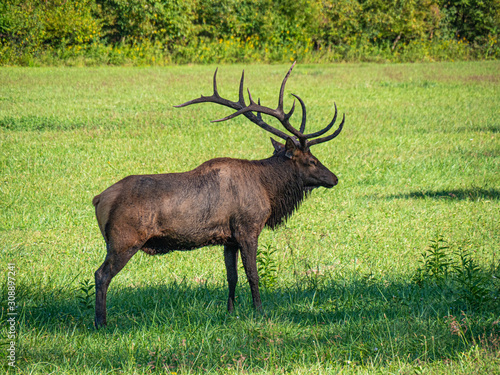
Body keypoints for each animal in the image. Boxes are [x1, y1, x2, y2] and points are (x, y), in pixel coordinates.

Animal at [92, 64, 344, 328]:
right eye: (311, 161)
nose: (334, 178)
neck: (268, 190)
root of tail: (98, 199)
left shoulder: (228, 239)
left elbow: (231, 277)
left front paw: (230, 311)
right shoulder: (247, 228)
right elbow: (252, 275)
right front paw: (259, 312)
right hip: (124, 239)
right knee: (101, 274)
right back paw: (101, 322)